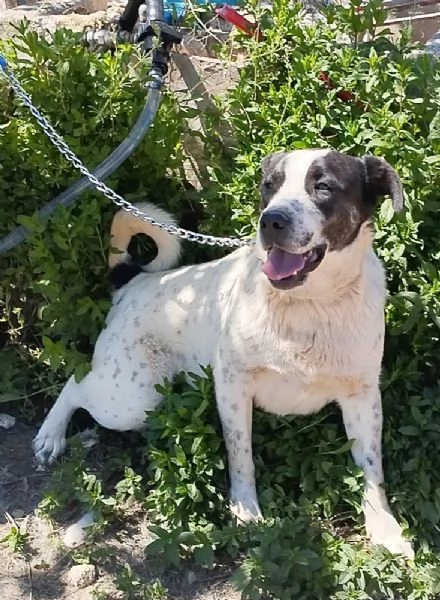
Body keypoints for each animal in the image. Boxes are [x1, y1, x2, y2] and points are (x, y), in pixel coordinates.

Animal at [32, 149, 414, 556]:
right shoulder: (233, 385)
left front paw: (385, 528)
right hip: (128, 398)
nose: (271, 220)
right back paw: (50, 435)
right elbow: (240, 453)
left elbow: (373, 470)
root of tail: (133, 282)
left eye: (323, 186)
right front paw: (245, 510)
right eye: (270, 186)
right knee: (76, 384)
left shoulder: (363, 397)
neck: (308, 305)